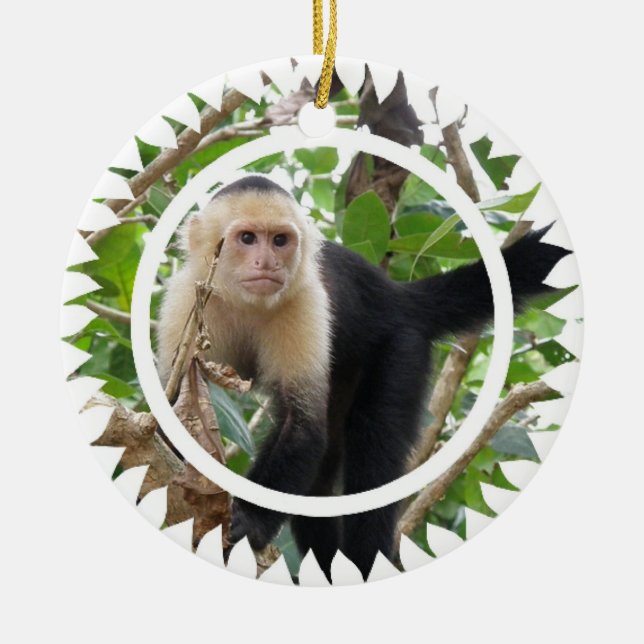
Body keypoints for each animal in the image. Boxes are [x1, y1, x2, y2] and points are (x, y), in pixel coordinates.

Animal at [157, 174, 570, 581]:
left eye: (279, 240)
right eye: (246, 238)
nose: (268, 262)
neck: (246, 302)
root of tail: (398, 296)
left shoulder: (306, 302)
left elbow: (303, 427)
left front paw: (251, 523)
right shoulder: (187, 299)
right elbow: (175, 402)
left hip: (401, 345)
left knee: (372, 453)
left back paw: (367, 561)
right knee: (320, 479)